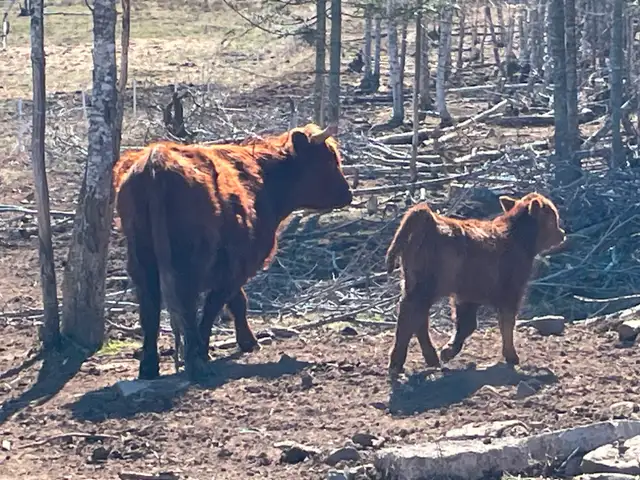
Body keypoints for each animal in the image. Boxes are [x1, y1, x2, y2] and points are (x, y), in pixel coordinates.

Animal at [113, 123, 353, 381]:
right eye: (328, 161)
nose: (348, 193)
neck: (265, 181)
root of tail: (157, 159)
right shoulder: (240, 261)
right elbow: (220, 305)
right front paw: (212, 348)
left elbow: (234, 300)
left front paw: (244, 341)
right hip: (187, 258)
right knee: (185, 301)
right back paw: (196, 364)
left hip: (140, 256)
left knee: (150, 307)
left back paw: (149, 367)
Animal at [385, 192, 566, 378]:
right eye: (552, 218)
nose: (562, 234)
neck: (515, 236)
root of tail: (428, 218)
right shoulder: (511, 291)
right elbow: (506, 323)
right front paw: (512, 357)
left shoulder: (467, 296)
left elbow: (467, 324)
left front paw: (448, 351)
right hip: (425, 287)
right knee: (410, 316)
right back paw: (397, 364)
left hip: (413, 284)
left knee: (416, 317)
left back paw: (431, 358)